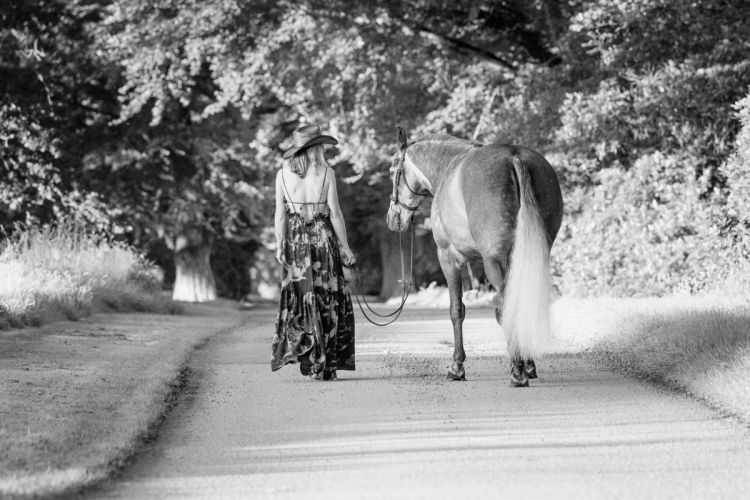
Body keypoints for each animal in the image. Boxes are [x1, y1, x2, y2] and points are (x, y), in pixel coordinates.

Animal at [388, 127, 564, 388]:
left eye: (393, 171)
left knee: (505, 308)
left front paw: (457, 366)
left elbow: (456, 310)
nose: (393, 218)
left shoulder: (448, 258)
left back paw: (517, 371)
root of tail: (514, 157)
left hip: (496, 262)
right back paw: (525, 364)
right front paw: (529, 364)